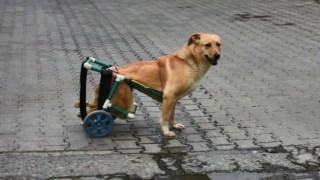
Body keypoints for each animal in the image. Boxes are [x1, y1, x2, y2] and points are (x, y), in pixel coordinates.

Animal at [76, 32, 221, 136]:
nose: (218, 56)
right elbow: (164, 118)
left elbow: (171, 116)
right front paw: (166, 131)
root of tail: (113, 71)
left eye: (218, 44)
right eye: (208, 45)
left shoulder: (173, 99)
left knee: (91, 106)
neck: (189, 62)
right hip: (123, 103)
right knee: (93, 112)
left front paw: (174, 125)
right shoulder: (169, 97)